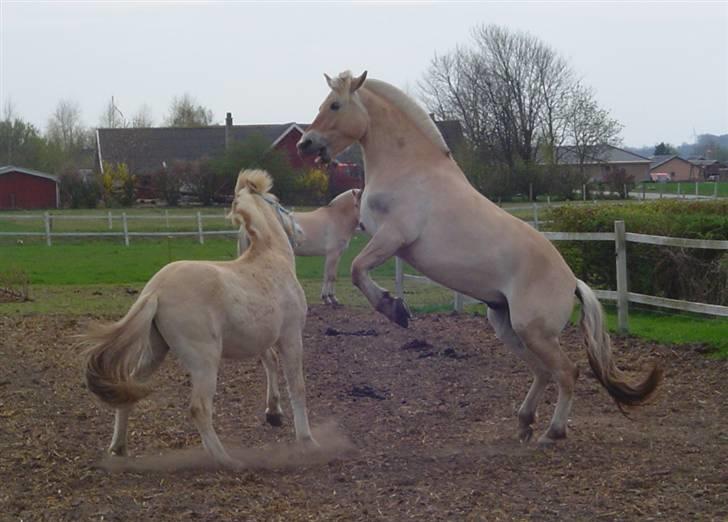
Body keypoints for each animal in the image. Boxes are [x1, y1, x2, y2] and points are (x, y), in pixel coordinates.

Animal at [82, 169, 316, 466]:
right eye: (277, 202)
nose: (301, 232)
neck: (271, 259)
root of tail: (156, 290)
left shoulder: (264, 339)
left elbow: (270, 364)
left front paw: (274, 413)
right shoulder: (291, 337)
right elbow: (297, 385)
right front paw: (307, 440)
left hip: (155, 350)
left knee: (129, 388)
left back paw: (119, 448)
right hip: (205, 361)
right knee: (199, 408)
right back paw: (228, 460)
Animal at [298, 70, 664, 442]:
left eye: (335, 105)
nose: (305, 144)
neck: (409, 168)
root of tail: (572, 281)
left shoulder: (393, 236)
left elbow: (358, 270)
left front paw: (395, 309)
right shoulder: (385, 239)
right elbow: (357, 270)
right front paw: (394, 307)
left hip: (533, 331)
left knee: (567, 371)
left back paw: (553, 431)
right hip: (506, 325)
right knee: (543, 372)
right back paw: (524, 423)